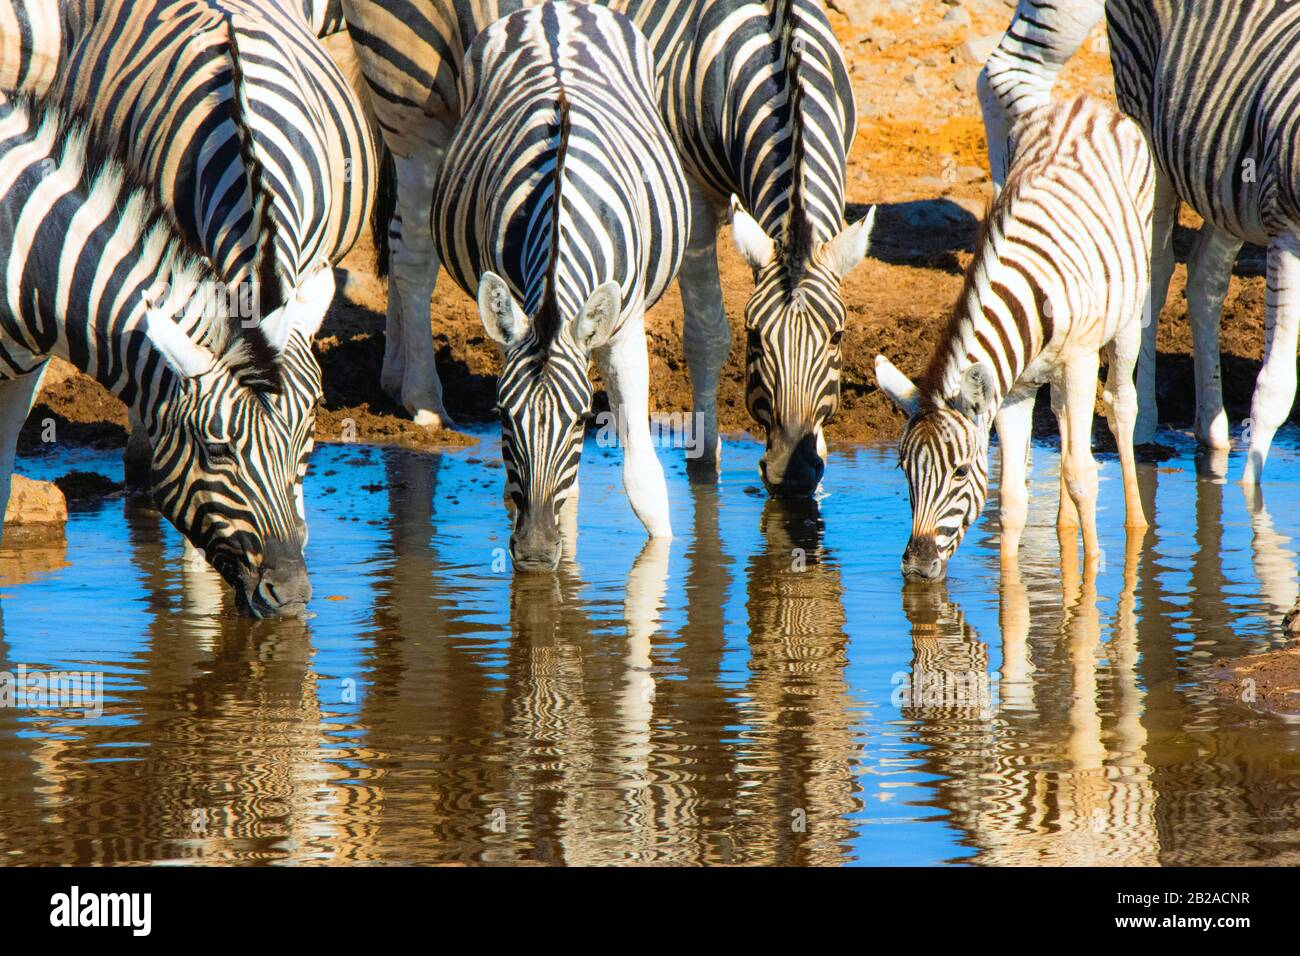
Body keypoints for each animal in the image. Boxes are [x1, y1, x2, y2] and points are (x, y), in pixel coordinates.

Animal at [342, 0, 873, 494]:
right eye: (755, 338)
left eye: (838, 337)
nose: (792, 475)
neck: (774, 38)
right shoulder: (691, 197)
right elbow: (706, 335)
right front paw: (705, 463)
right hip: (413, 110)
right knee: (413, 253)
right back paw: (425, 401)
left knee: (396, 237)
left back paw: (394, 377)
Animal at [430, 1, 688, 570]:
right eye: (502, 418)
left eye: (581, 419)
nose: (533, 552)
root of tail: (555, 9)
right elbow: (522, 492)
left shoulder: (624, 330)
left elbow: (645, 484)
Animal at [874, 96, 1151, 580]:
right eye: (903, 469)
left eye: (961, 472)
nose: (918, 568)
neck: (1028, 300)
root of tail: (1082, 102)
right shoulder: (1012, 389)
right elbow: (1011, 498)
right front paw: (1011, 583)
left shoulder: (1079, 361)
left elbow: (1082, 473)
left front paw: (1091, 575)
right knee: (1062, 415)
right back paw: (1064, 525)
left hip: (1129, 315)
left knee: (1119, 407)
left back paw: (1135, 524)